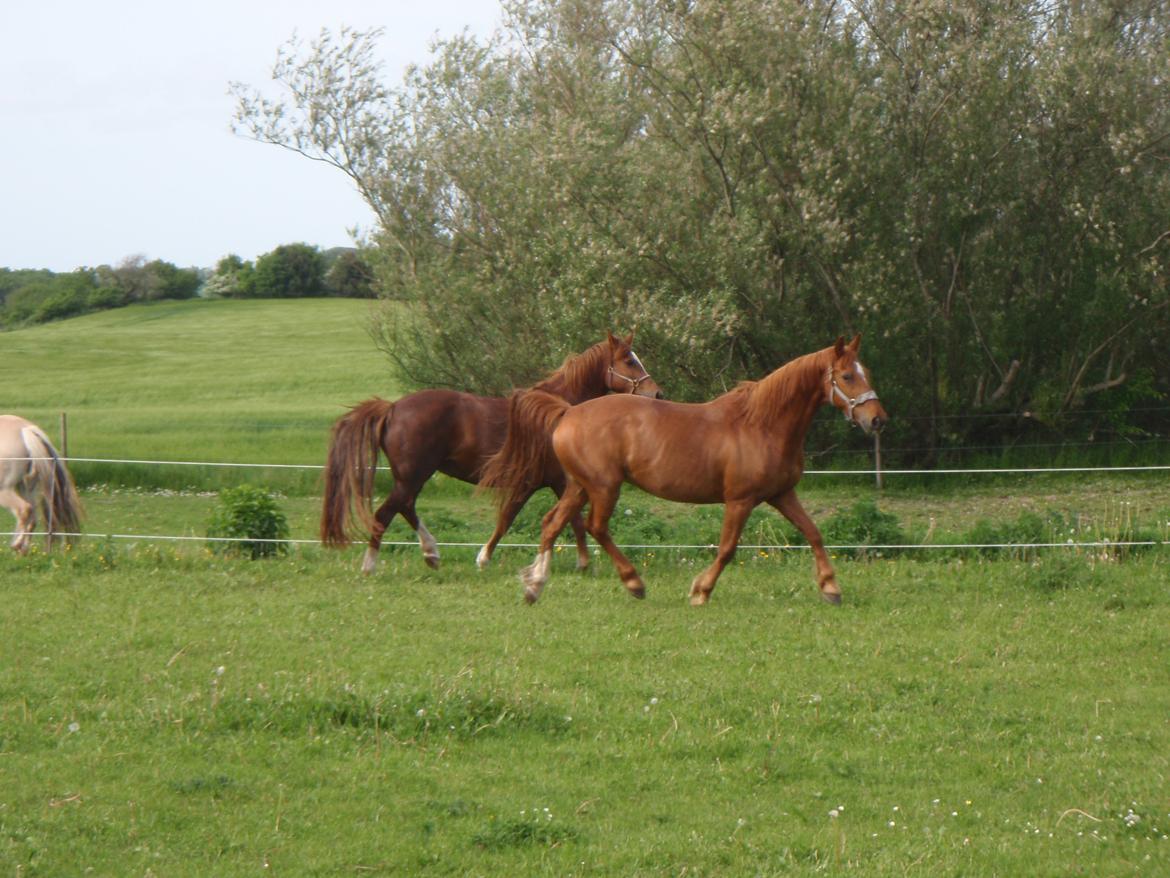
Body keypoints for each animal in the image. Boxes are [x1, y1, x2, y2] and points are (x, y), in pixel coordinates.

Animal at [0, 416, 83, 552]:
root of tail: (26, 429)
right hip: (26, 488)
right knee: (32, 518)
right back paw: (22, 550)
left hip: (5, 489)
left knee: (24, 510)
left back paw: (16, 545)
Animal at [320, 332, 664, 573]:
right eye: (629, 360)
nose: (657, 393)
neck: (558, 411)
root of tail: (392, 409)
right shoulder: (534, 482)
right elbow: (509, 518)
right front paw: (484, 558)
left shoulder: (559, 482)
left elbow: (573, 521)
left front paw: (581, 563)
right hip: (413, 475)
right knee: (386, 513)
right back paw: (371, 565)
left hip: (412, 477)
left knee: (404, 507)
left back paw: (431, 554)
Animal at [493, 337, 884, 604]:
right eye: (847, 375)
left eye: (866, 372)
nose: (877, 419)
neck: (761, 424)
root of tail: (569, 412)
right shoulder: (740, 500)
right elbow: (727, 549)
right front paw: (701, 590)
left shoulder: (781, 494)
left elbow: (814, 533)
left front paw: (831, 587)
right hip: (604, 487)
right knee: (595, 527)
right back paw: (634, 583)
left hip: (579, 486)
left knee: (552, 524)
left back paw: (534, 586)